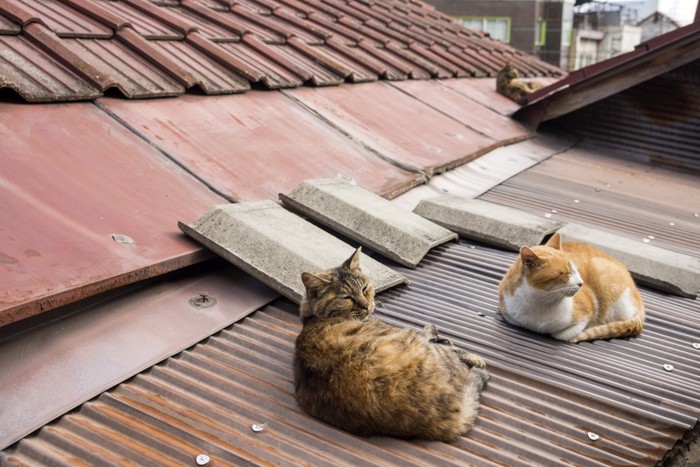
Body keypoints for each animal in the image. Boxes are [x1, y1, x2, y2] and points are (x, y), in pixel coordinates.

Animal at [292, 249, 490, 442]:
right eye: (347, 297)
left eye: (364, 288)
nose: (366, 306)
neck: (313, 318)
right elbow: (450, 346)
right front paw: (471, 356)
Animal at [498, 234, 644, 344]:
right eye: (567, 273)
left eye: (577, 271)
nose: (581, 283)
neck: (540, 303)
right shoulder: (509, 315)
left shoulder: (588, 311)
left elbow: (562, 335)